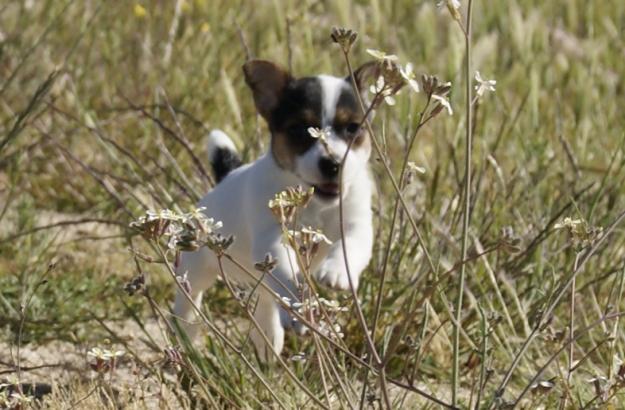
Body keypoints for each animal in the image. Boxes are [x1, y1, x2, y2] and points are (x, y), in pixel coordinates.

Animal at [173, 58, 382, 358]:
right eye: (299, 129)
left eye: (352, 128)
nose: (332, 164)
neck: (314, 203)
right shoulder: (272, 239)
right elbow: (286, 273)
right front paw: (300, 312)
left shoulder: (356, 225)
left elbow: (349, 247)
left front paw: (336, 272)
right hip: (196, 267)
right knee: (189, 299)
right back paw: (186, 335)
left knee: (266, 303)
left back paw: (268, 345)